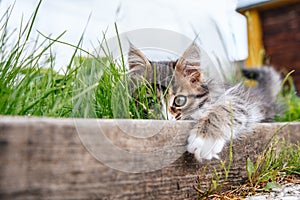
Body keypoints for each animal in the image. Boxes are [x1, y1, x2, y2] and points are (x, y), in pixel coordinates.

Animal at [126, 43, 282, 162]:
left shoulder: (240, 101)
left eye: (179, 100)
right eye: (149, 101)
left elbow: (224, 109)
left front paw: (206, 138)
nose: (164, 119)